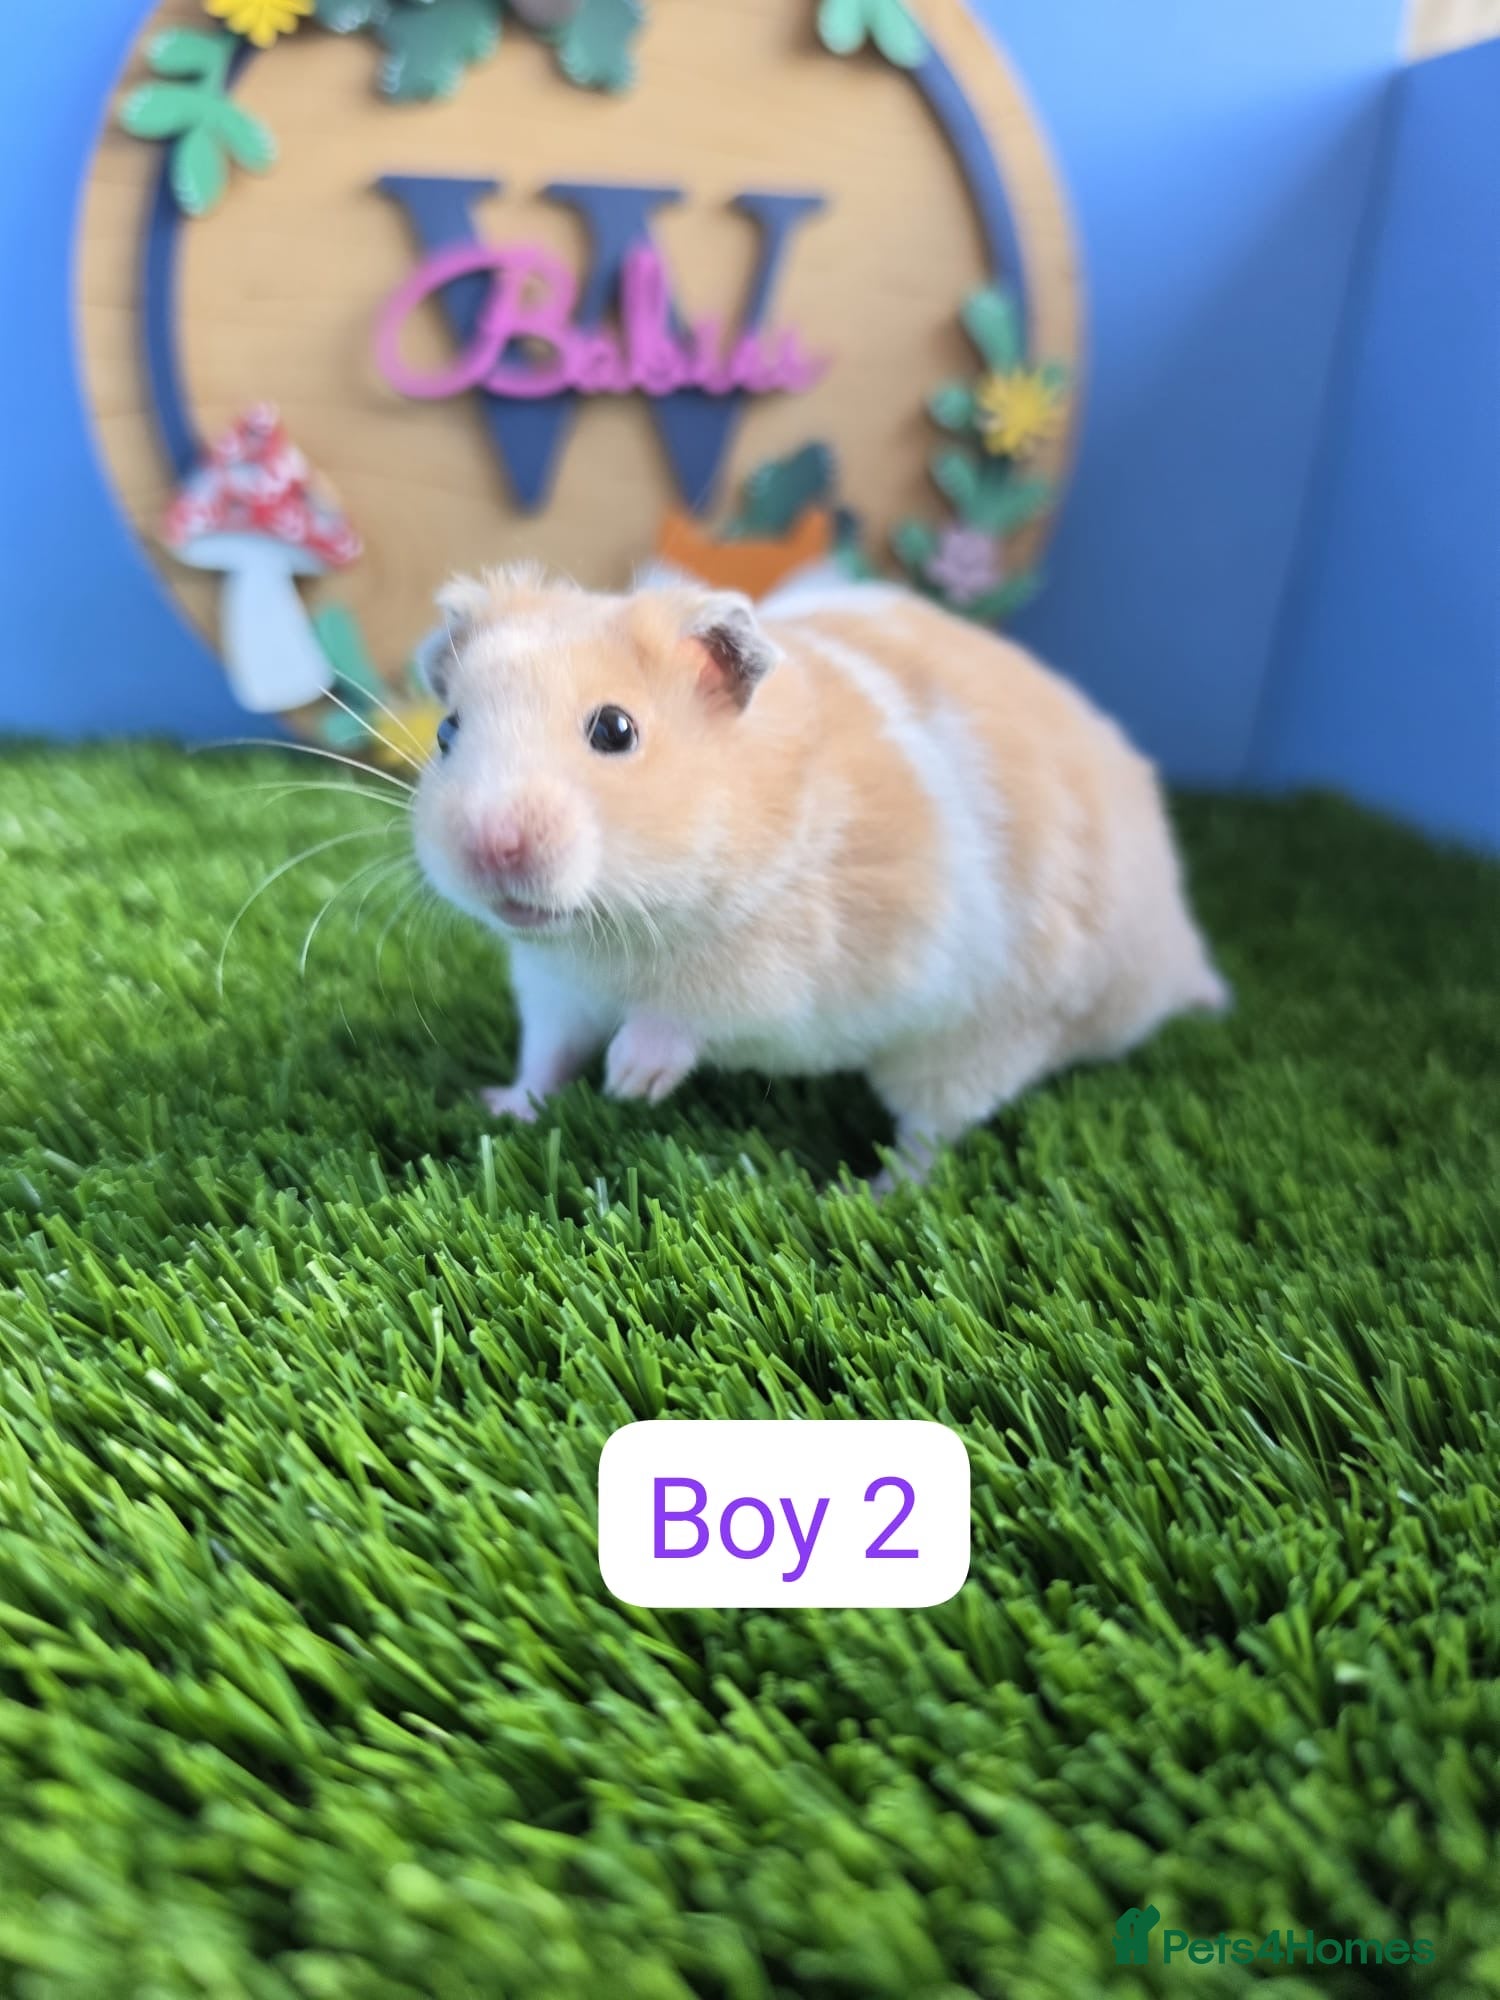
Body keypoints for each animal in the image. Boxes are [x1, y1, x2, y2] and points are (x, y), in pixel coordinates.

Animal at [412, 561, 1228, 1181]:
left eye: (615, 729)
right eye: (448, 732)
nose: (490, 848)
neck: (614, 932)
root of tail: (1176, 954)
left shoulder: (801, 961)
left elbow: (702, 1006)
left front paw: (630, 1083)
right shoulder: (553, 985)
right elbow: (545, 1054)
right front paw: (500, 1105)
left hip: (977, 1043)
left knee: (931, 1138)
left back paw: (863, 1194)